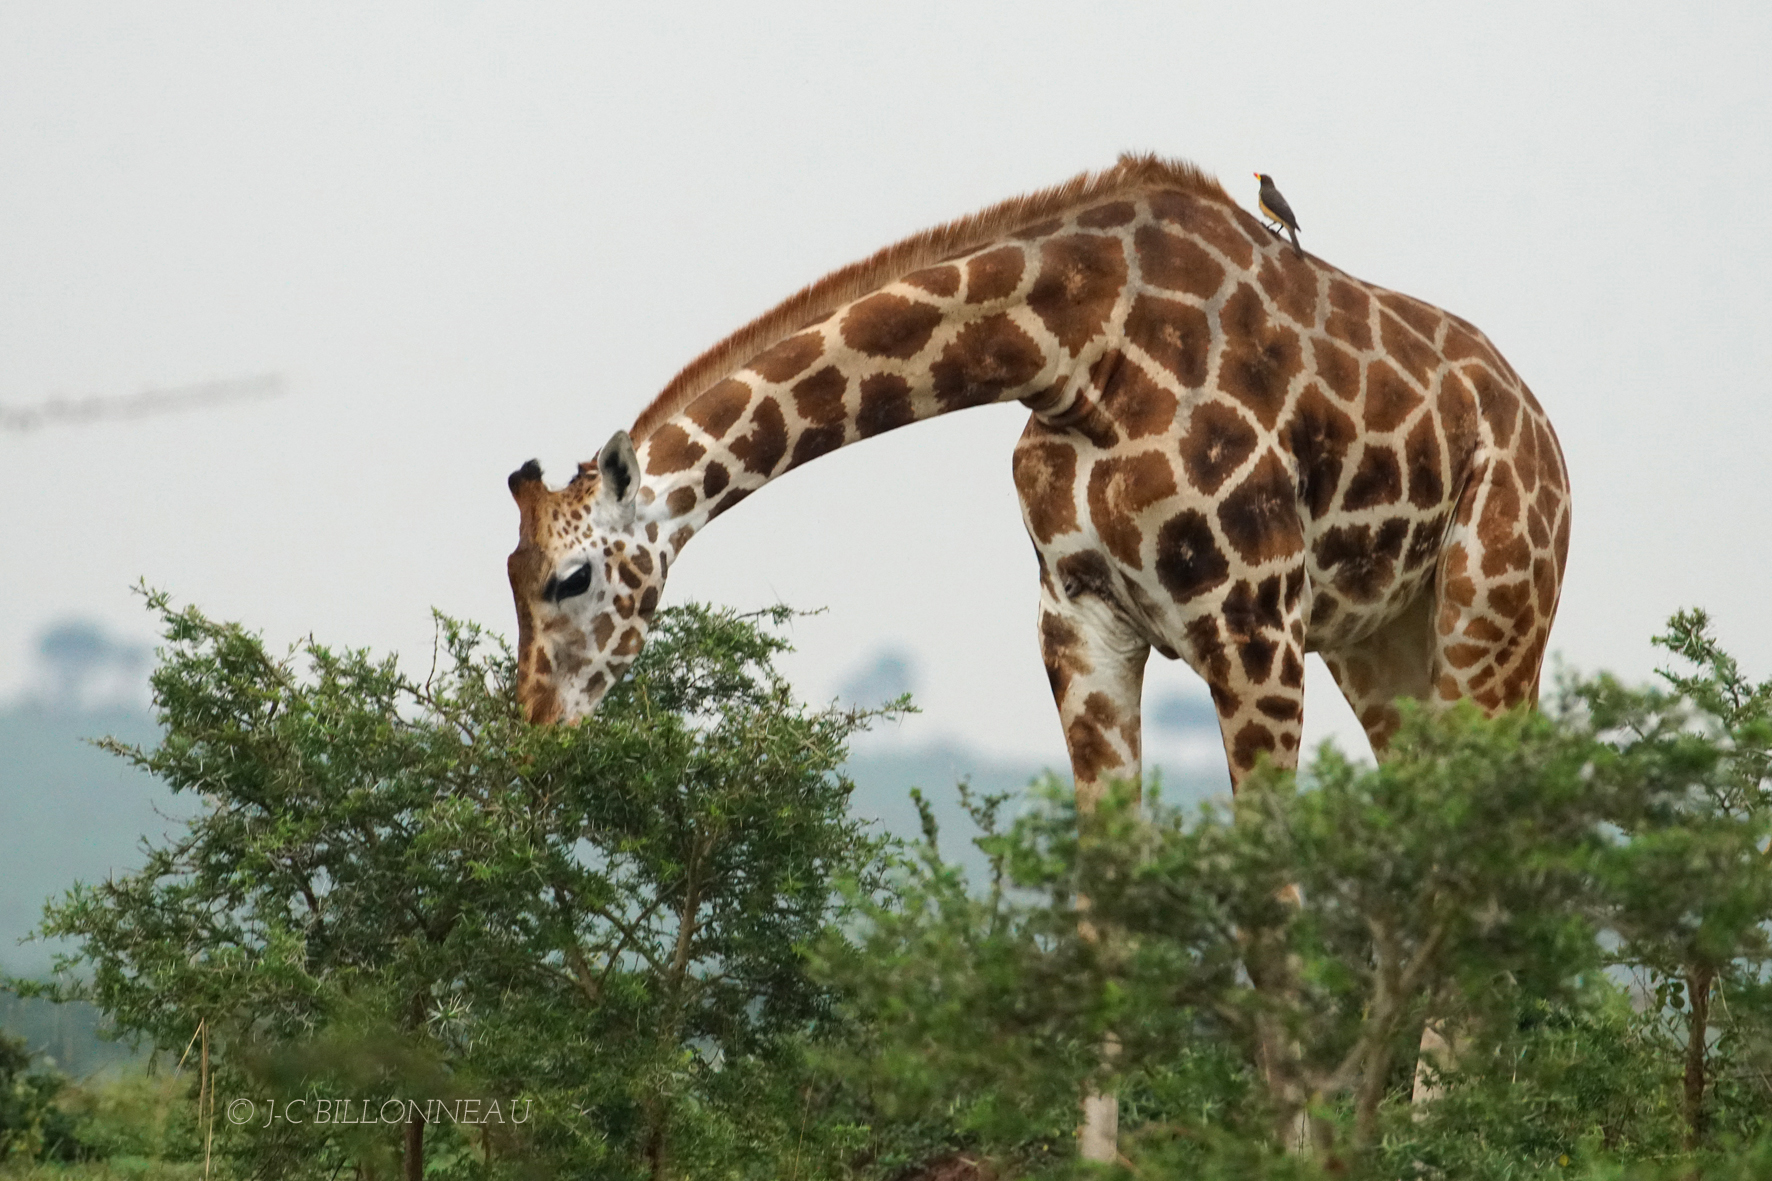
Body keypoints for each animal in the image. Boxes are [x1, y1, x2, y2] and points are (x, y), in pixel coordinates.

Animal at [499, 151, 1566, 1156]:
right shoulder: (1079, 619)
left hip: (1496, 609)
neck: (1077, 356)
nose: (536, 728)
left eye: (570, 579)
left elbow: (1272, 909)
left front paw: (1292, 1153)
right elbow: (1103, 920)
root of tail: (1541, 428)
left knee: (1475, 859)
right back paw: (1431, 1126)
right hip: (1386, 640)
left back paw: (1453, 1133)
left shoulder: (1252, 614)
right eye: (508, 574)